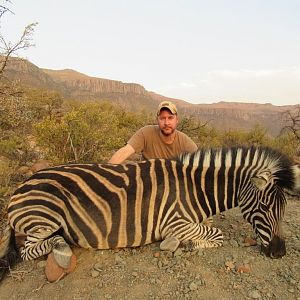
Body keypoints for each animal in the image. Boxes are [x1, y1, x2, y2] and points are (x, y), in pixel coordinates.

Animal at [0, 146, 296, 280]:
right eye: (266, 208)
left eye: (283, 209)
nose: (280, 253)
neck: (195, 189)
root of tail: (19, 189)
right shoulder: (174, 221)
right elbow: (217, 234)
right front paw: (182, 245)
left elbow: (212, 229)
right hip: (46, 216)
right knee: (29, 250)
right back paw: (62, 249)